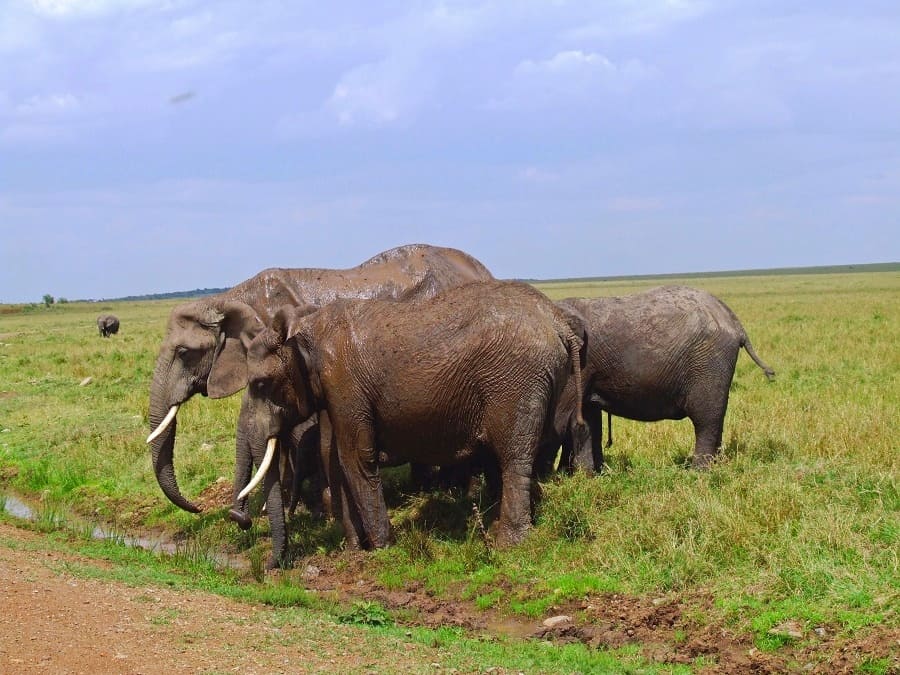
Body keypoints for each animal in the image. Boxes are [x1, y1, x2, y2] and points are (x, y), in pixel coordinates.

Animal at [146, 243, 492, 532]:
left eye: (184, 352)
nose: (202, 509)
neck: (230, 298)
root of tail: (483, 270)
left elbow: (303, 433)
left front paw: (318, 511)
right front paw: (290, 507)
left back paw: (454, 490)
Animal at [232, 280, 584, 556]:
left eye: (260, 384)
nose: (240, 519)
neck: (306, 327)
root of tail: (557, 321)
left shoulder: (344, 381)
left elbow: (355, 458)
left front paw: (382, 548)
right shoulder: (333, 392)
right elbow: (334, 457)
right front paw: (354, 551)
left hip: (516, 380)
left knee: (513, 457)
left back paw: (508, 544)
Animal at [544, 286, 776, 476]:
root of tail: (736, 323)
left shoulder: (575, 364)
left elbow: (562, 417)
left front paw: (560, 479)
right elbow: (588, 418)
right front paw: (585, 476)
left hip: (709, 361)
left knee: (706, 419)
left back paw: (698, 473)